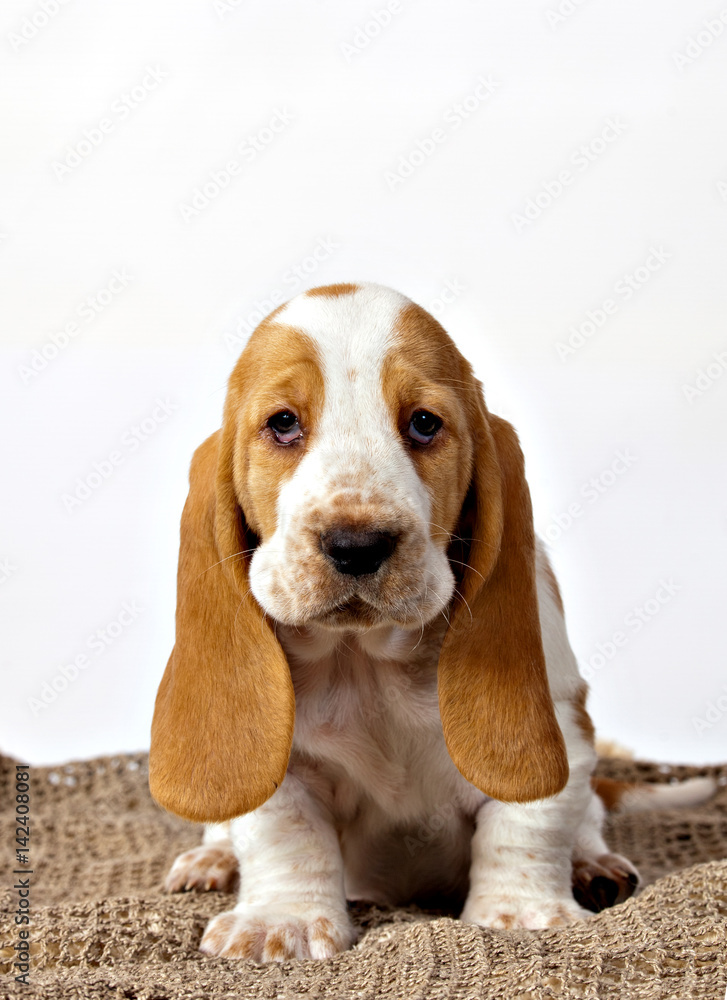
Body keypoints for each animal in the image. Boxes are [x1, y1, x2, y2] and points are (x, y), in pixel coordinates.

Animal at [149, 282, 712, 960]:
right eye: (282, 423)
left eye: (423, 423)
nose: (356, 545)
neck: (366, 655)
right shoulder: (281, 767)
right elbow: (284, 831)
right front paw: (280, 920)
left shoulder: (561, 724)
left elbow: (528, 821)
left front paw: (520, 915)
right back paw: (210, 861)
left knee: (589, 821)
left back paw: (593, 865)